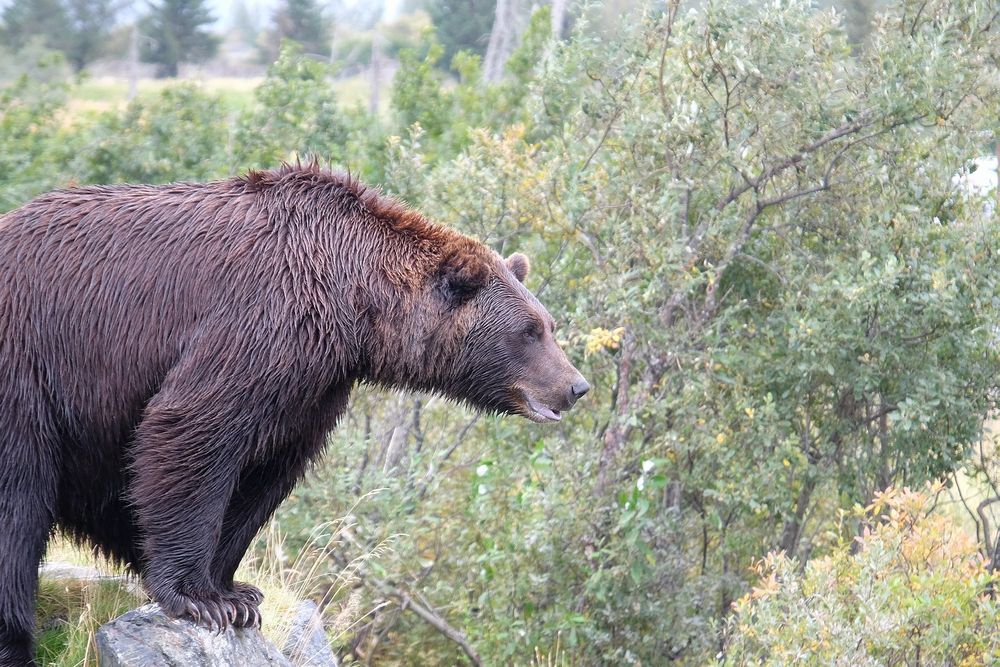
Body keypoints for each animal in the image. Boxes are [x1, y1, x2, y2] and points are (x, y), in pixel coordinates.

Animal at [0, 163, 584, 667]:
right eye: (530, 331)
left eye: (548, 324)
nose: (576, 386)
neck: (352, 302)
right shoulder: (260, 322)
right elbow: (192, 427)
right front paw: (199, 597)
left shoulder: (312, 385)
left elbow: (267, 472)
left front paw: (236, 591)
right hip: (27, 373)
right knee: (18, 505)